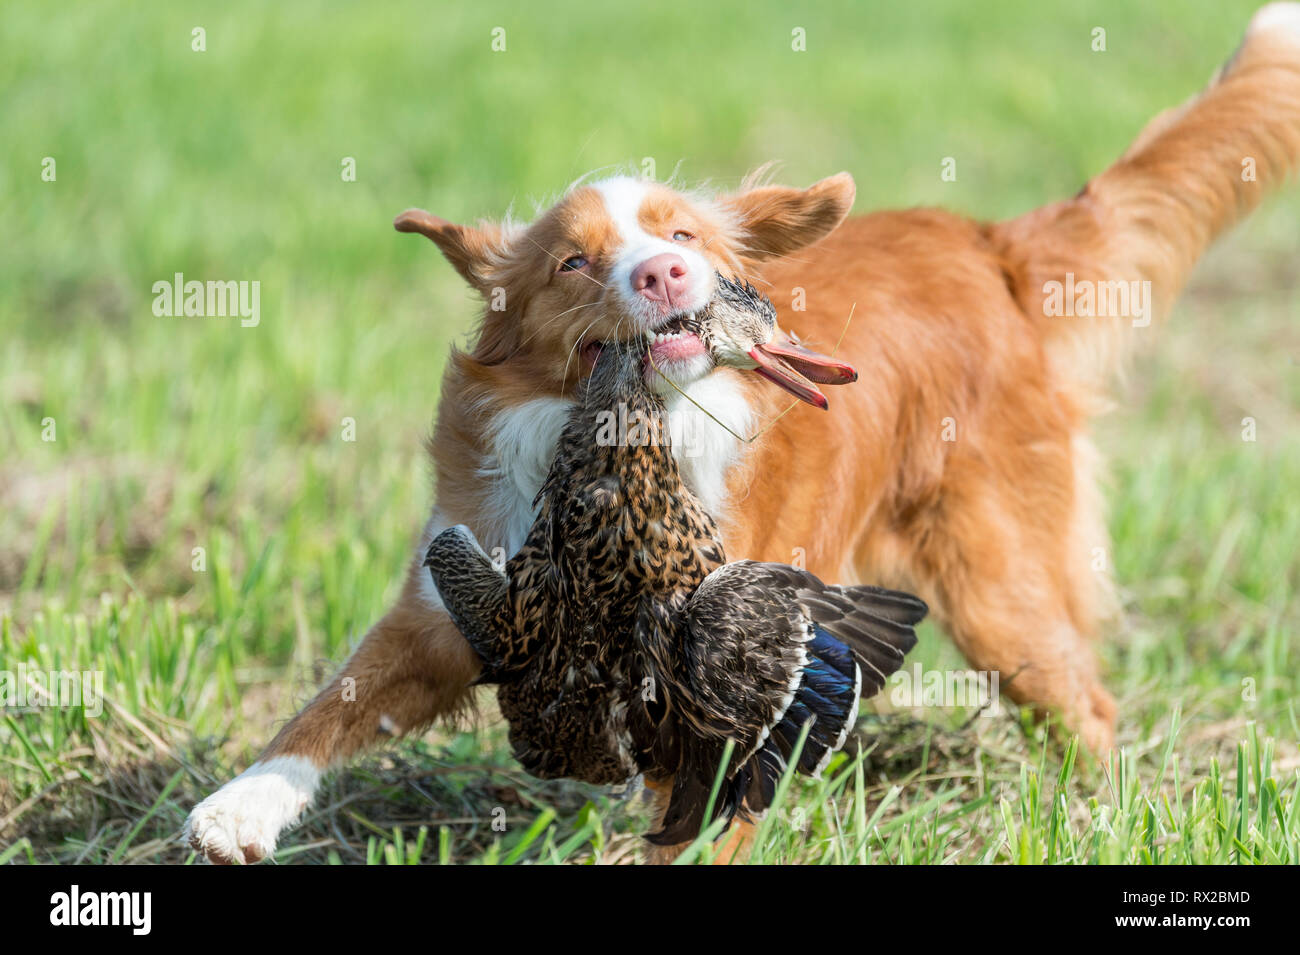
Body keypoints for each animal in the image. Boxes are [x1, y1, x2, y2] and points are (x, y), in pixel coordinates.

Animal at [183, 1, 1300, 867]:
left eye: (680, 234)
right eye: (571, 263)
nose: (666, 273)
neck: (614, 459)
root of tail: (986, 245)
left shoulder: (725, 692)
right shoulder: (456, 600)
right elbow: (334, 700)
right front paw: (238, 807)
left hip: (1000, 588)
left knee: (1087, 710)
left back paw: (1098, 819)